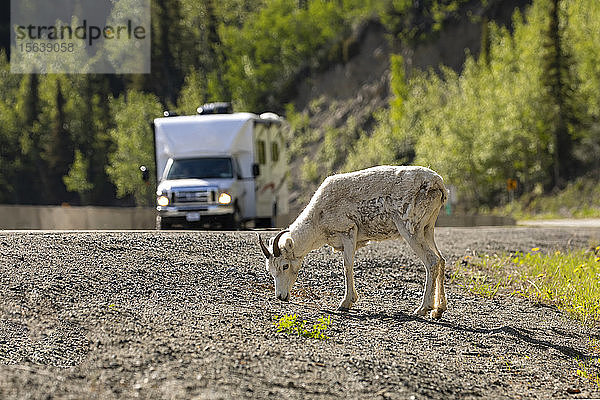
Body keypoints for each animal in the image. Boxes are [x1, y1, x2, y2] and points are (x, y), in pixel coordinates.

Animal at [258, 165, 450, 318]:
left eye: (285, 266)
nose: (281, 297)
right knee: (441, 259)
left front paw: (345, 303)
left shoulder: (349, 232)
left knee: (432, 261)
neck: (318, 219)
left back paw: (422, 309)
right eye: (270, 270)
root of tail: (437, 183)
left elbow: (347, 266)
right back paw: (438, 310)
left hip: (410, 230)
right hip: (427, 230)